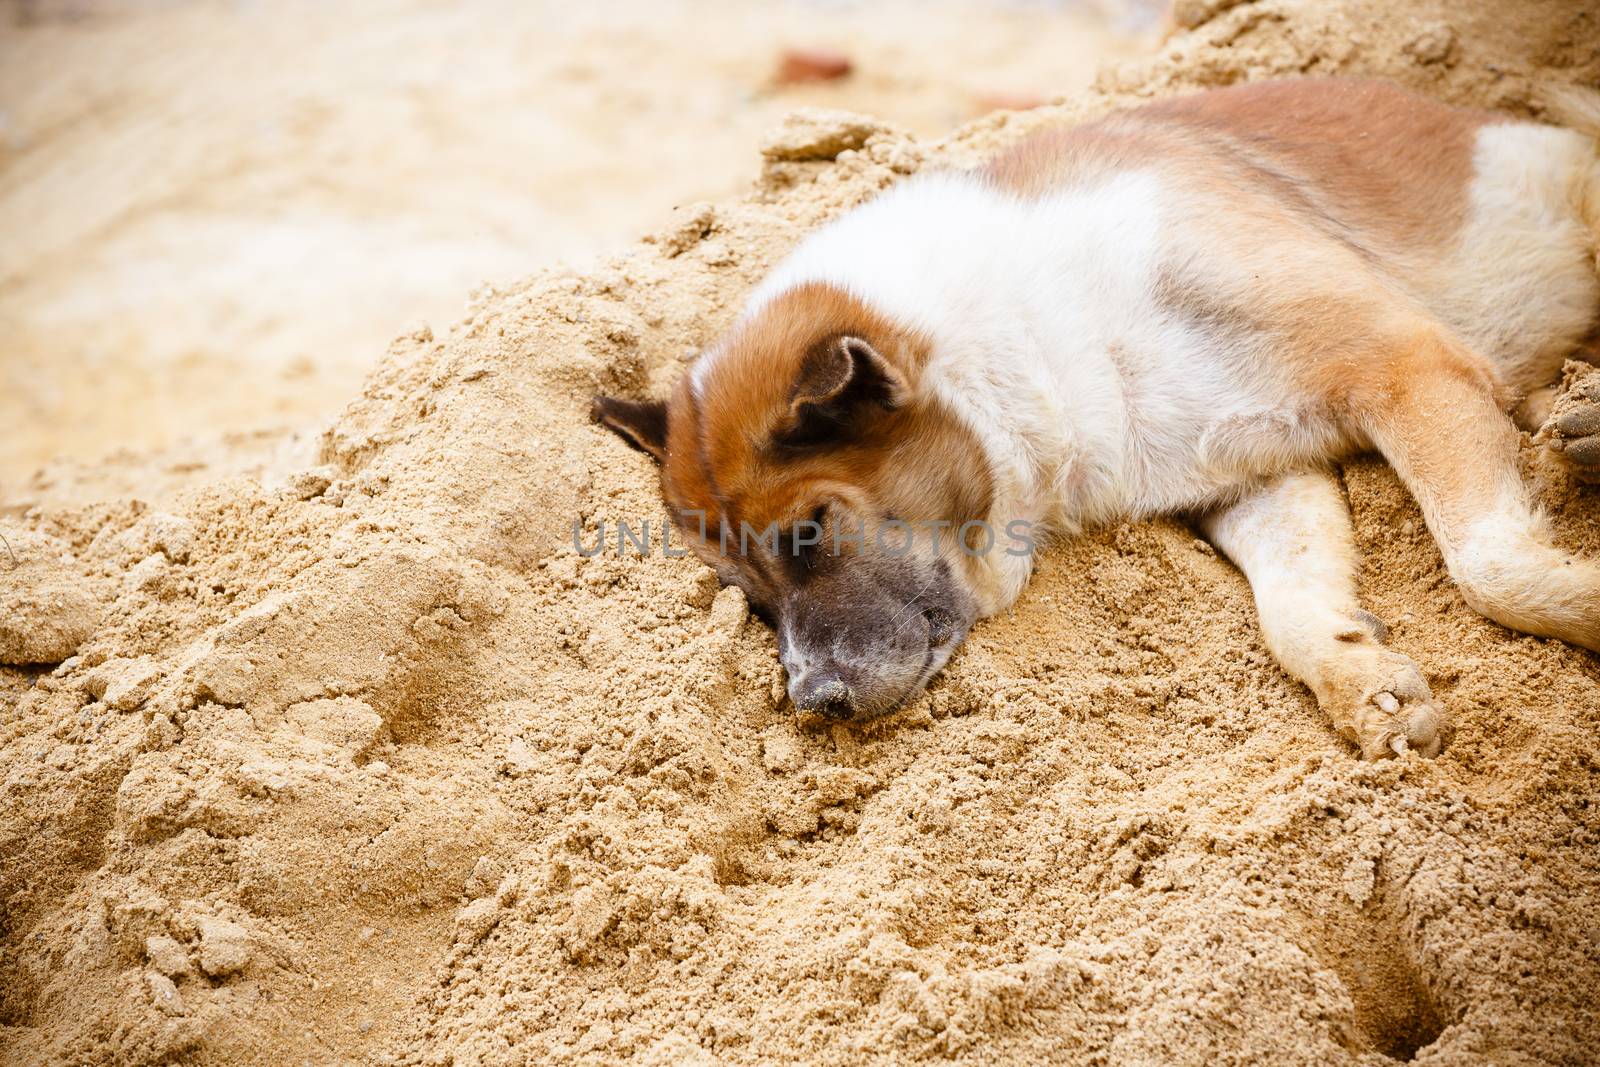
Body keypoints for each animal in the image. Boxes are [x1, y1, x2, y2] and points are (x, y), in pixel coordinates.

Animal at [592, 77, 1600, 758]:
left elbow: (1489, 565)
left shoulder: (1404, 364)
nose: (812, 700)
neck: (1022, 330)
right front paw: (1367, 687)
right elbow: (1294, 607)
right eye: (753, 601)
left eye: (809, 534)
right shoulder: (1259, 475)